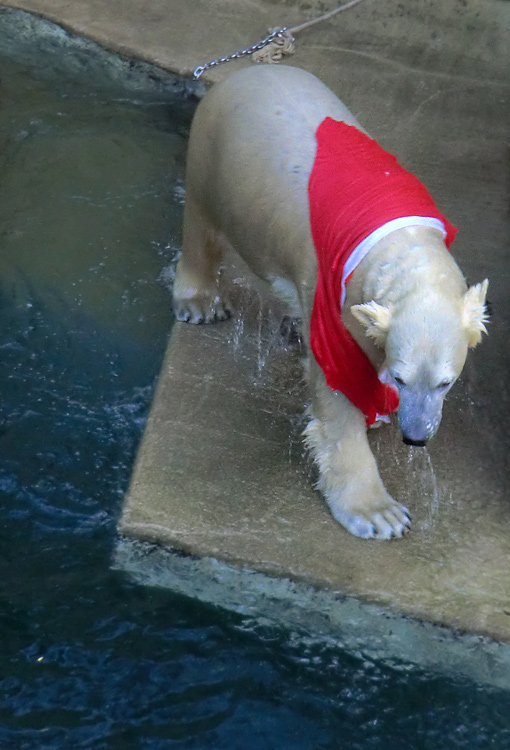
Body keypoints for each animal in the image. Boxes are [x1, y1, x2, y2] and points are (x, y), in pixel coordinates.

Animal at [173, 64, 488, 536]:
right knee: (201, 225)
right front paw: (378, 513)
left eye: (445, 382)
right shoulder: (336, 296)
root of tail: (248, 68)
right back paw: (200, 302)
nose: (416, 436)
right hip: (212, 154)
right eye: (401, 377)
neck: (404, 243)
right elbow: (337, 388)